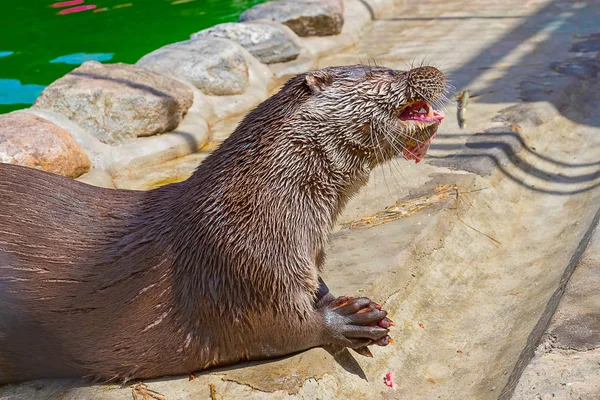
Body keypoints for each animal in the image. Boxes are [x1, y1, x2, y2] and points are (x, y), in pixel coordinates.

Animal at [0, 63, 446, 384]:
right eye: (383, 73)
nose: (434, 71)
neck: (259, 206)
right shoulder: (241, 266)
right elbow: (285, 326)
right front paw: (347, 321)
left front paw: (347, 302)